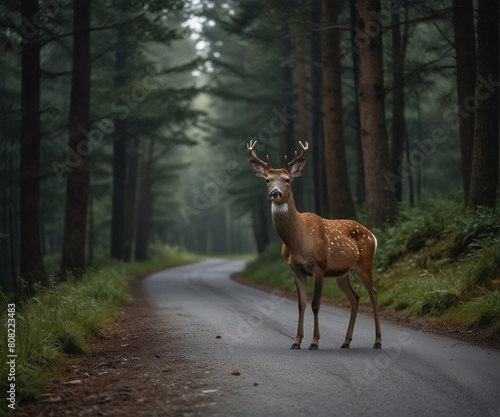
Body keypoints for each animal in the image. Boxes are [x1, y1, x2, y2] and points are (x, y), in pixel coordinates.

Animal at [247, 141, 382, 350]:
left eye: (287, 179)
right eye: (267, 180)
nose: (275, 193)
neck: (299, 242)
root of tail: (372, 235)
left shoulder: (319, 265)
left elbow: (315, 304)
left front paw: (314, 342)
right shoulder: (296, 270)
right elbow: (300, 304)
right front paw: (296, 341)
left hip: (364, 263)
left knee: (373, 294)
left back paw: (377, 341)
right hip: (342, 273)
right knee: (355, 298)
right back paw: (345, 342)